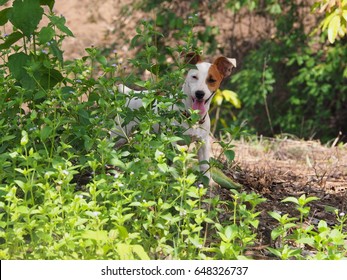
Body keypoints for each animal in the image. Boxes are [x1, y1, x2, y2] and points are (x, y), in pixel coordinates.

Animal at [113, 53, 237, 183]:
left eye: (212, 80)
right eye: (194, 77)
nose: (199, 93)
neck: (191, 118)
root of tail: (130, 94)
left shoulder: (203, 142)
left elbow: (204, 166)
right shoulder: (171, 141)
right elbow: (172, 161)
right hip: (119, 135)